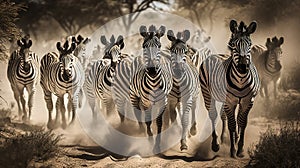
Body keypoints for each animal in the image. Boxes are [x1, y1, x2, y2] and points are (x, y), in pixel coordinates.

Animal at [199, 20, 260, 158]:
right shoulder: (229, 101)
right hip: (208, 94)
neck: (241, 81)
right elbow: (232, 124)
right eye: (233, 45)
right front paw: (233, 151)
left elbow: (242, 122)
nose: (243, 67)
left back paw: (230, 138)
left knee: (226, 116)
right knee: (213, 115)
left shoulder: (248, 101)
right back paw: (216, 144)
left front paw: (240, 149)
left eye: (250, 45)